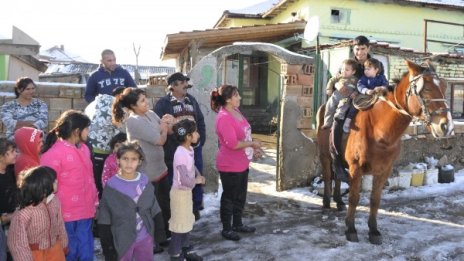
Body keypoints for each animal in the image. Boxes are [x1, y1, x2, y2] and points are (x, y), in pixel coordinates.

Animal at [316, 60, 454, 244]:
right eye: (425, 89)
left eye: (444, 87)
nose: (446, 126)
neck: (378, 130)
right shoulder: (356, 169)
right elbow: (354, 198)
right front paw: (351, 229)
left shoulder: (384, 170)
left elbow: (375, 200)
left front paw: (373, 230)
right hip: (324, 155)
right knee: (327, 175)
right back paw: (326, 201)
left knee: (337, 175)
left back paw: (338, 201)